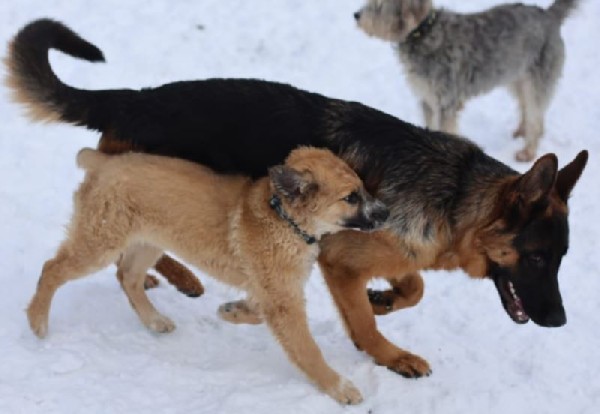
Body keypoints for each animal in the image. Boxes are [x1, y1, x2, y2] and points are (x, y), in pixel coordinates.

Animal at [27, 147, 390, 402]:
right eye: (351, 197)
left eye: (362, 190)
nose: (386, 212)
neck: (284, 220)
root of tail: (103, 162)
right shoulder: (282, 300)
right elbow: (307, 349)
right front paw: (338, 386)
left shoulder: (274, 290)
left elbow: (257, 312)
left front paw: (232, 311)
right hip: (101, 242)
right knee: (51, 269)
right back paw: (38, 321)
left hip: (148, 241)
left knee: (127, 277)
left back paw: (154, 320)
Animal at [356, 0, 580, 162]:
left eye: (378, 5)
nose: (356, 15)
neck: (423, 33)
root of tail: (549, 15)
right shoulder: (427, 99)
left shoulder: (446, 103)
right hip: (516, 78)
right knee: (527, 107)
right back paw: (521, 131)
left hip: (537, 80)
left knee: (536, 117)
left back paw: (528, 151)